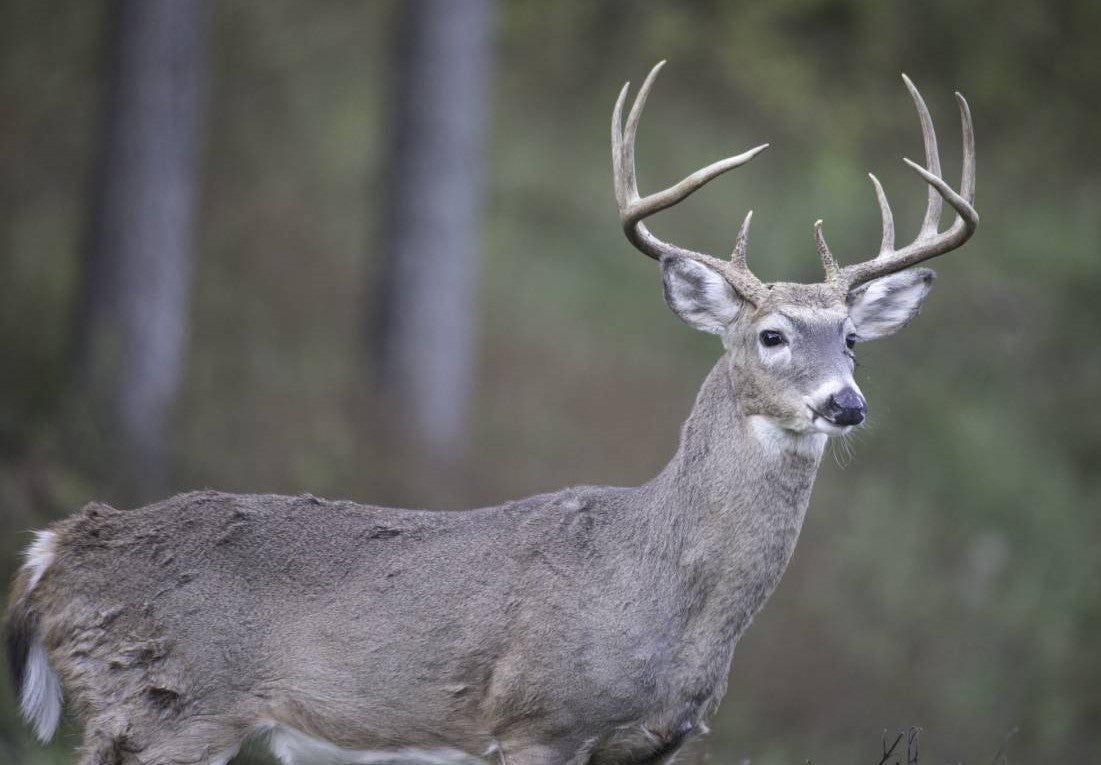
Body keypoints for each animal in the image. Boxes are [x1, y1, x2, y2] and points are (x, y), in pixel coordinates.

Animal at [5, 63, 976, 765]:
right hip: (162, 711)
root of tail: (51, 552)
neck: (664, 587)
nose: (844, 403)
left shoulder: (654, 747)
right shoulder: (536, 720)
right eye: (772, 335)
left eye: (852, 339)